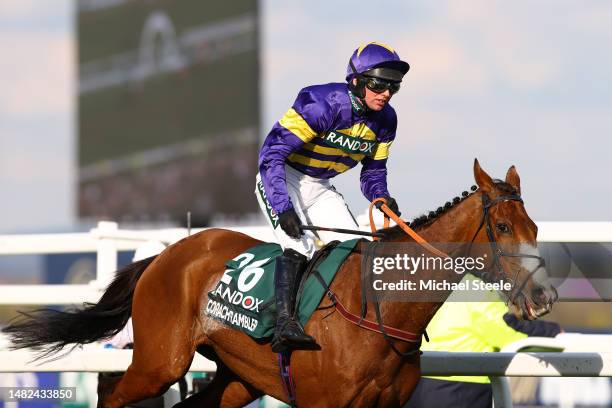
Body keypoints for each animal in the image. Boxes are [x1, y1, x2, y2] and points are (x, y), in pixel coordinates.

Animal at [3, 160, 560, 408]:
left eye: (535, 227)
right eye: (503, 227)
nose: (543, 297)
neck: (378, 312)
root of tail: (166, 254)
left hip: (237, 377)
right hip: (161, 361)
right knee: (113, 389)